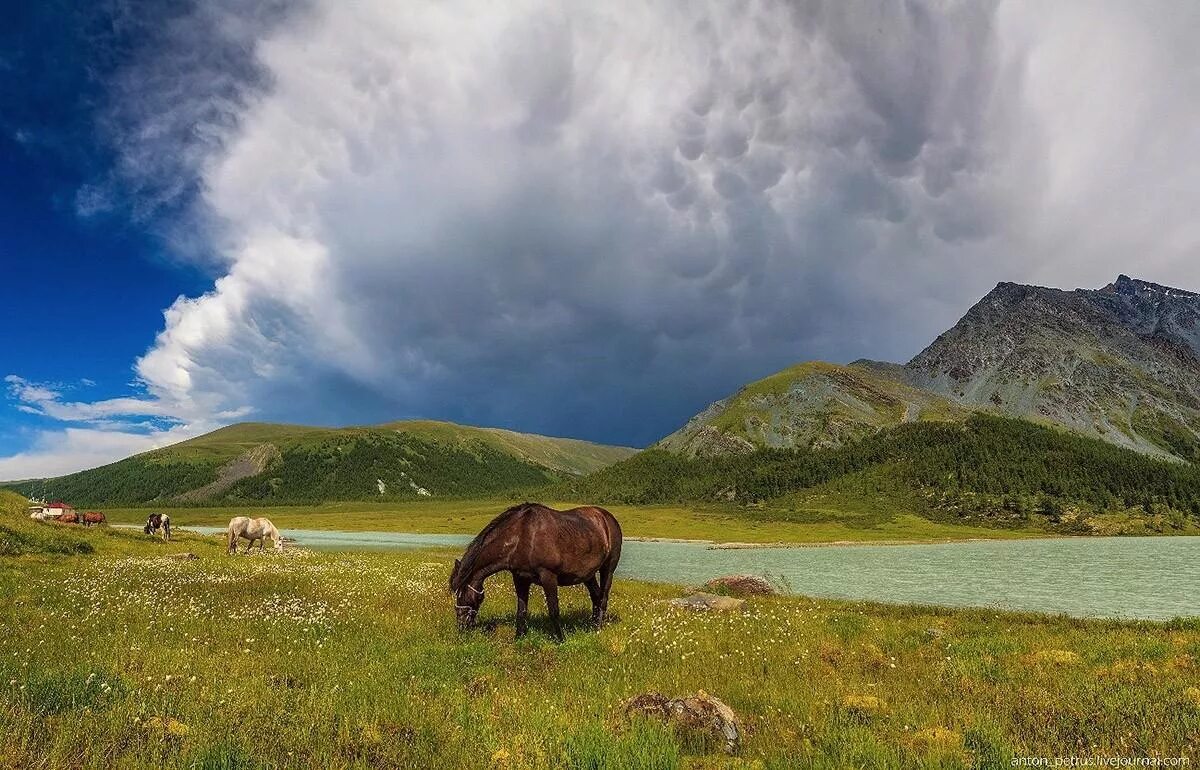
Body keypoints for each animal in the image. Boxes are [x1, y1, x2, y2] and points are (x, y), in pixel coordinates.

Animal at [448, 498, 619, 642]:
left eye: (463, 595)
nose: (462, 625)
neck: (521, 536)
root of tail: (608, 518)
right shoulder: (520, 578)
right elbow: (521, 610)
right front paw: (518, 638)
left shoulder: (548, 577)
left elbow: (553, 610)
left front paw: (560, 639)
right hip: (588, 575)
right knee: (596, 596)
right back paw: (592, 625)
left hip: (608, 569)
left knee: (603, 597)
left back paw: (598, 628)